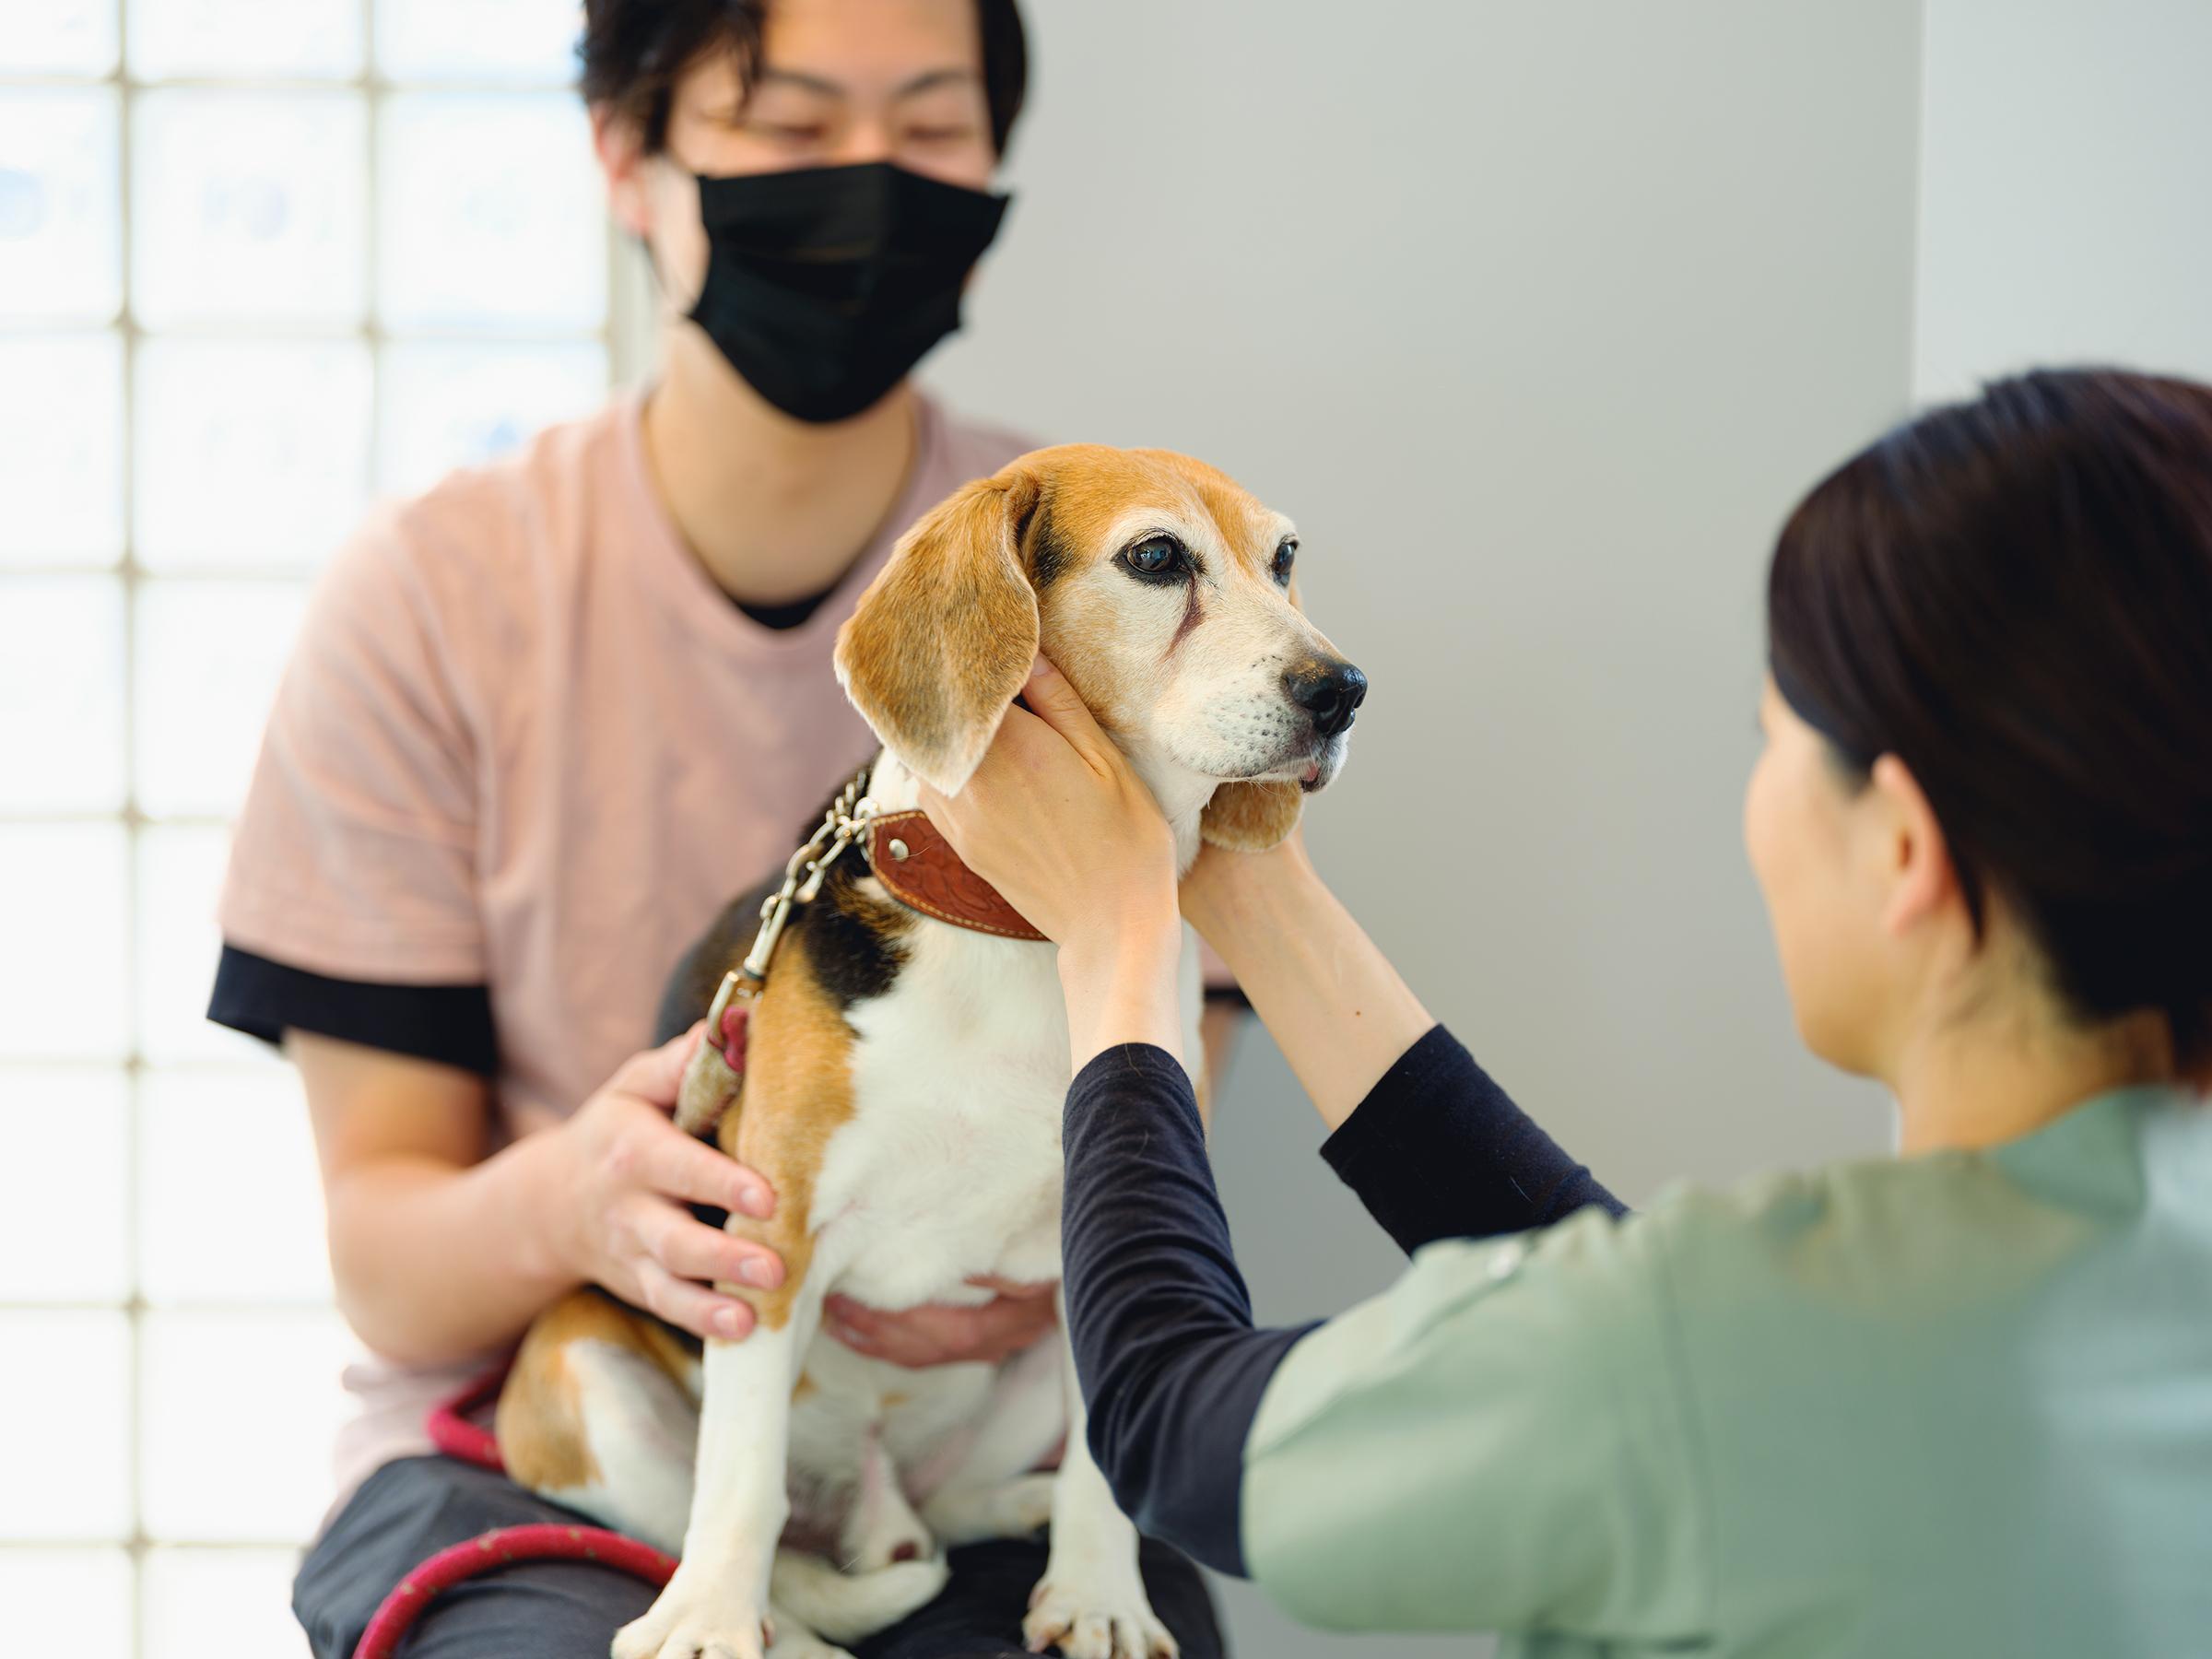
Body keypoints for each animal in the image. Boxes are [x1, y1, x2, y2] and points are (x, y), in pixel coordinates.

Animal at [498, 444, 1362, 1659]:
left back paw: (1012, 1510)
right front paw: (708, 1622)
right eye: (1157, 558)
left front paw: (1099, 1595)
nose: (1342, 690)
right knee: (763, 1540)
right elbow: (740, 1477)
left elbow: (1105, 1465)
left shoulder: (1102, 1248)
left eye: (1284, 558)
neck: (1023, 929)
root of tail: (866, 1503)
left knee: (949, 1509)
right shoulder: (770, 1240)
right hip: (577, 1369)